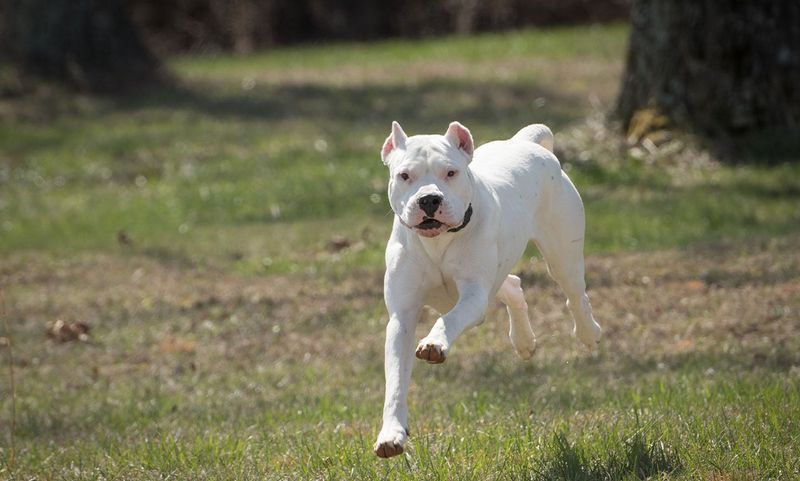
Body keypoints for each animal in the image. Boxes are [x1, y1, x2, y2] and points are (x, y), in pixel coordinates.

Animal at [374, 120, 600, 458]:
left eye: (451, 172)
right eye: (404, 175)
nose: (429, 199)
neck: (438, 241)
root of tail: (524, 142)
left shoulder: (473, 295)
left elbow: (449, 319)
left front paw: (434, 343)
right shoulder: (402, 316)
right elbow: (396, 382)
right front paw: (391, 435)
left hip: (562, 254)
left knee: (575, 295)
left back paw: (588, 333)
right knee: (513, 286)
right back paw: (524, 341)